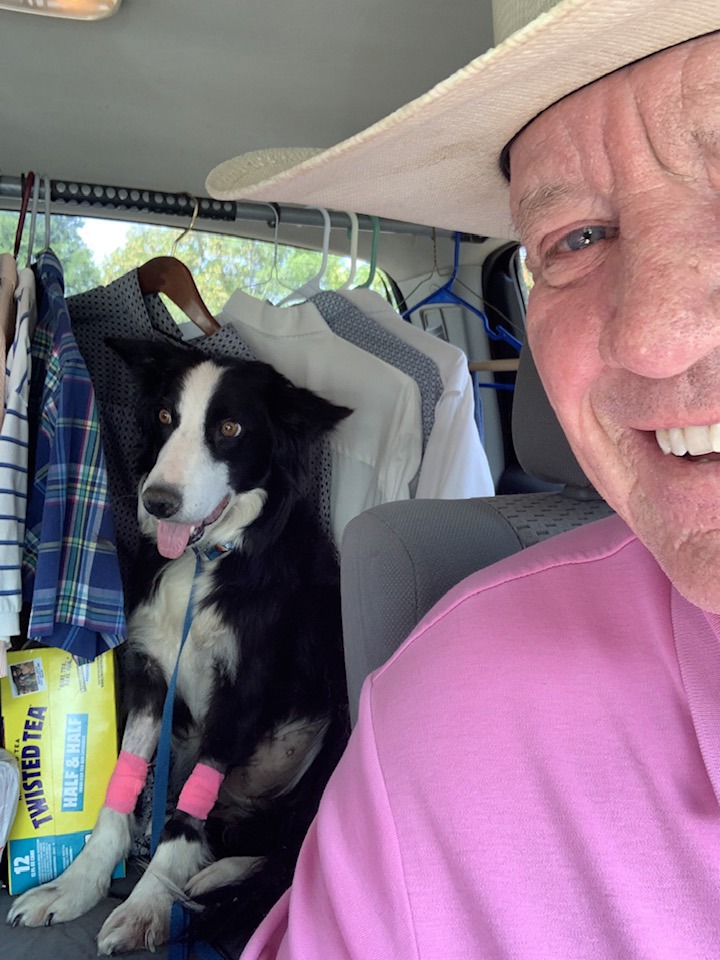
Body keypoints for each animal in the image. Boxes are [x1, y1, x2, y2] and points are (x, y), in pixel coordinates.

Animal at [7, 336, 352, 952]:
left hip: (340, 719)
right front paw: (78, 884)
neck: (203, 564)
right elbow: (122, 785)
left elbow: (190, 807)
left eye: (231, 428)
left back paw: (211, 879)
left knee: (290, 846)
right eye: (166, 417)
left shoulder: (242, 693)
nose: (158, 502)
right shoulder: (151, 673)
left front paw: (150, 903)